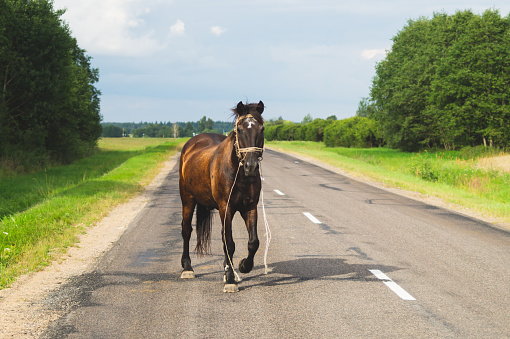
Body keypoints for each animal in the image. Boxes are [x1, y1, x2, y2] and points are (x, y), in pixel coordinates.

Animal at [178, 100, 264, 292]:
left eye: (262, 128)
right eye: (239, 129)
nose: (251, 166)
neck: (239, 174)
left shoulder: (250, 207)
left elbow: (253, 242)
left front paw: (242, 266)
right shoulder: (226, 207)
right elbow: (229, 243)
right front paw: (230, 279)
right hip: (187, 199)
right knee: (186, 230)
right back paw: (187, 268)